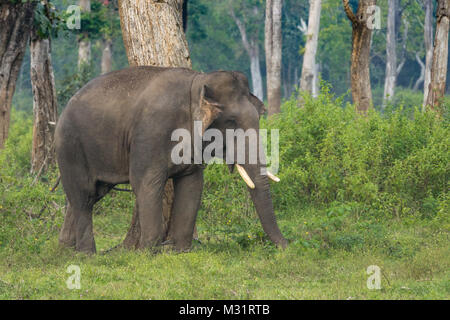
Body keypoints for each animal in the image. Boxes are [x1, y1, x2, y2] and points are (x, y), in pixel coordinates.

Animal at [55, 66, 288, 254]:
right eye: (231, 122)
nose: (287, 245)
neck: (197, 83)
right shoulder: (151, 133)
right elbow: (146, 183)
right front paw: (147, 253)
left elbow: (192, 185)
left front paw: (181, 251)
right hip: (70, 147)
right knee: (83, 196)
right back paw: (87, 254)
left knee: (87, 196)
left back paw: (66, 249)